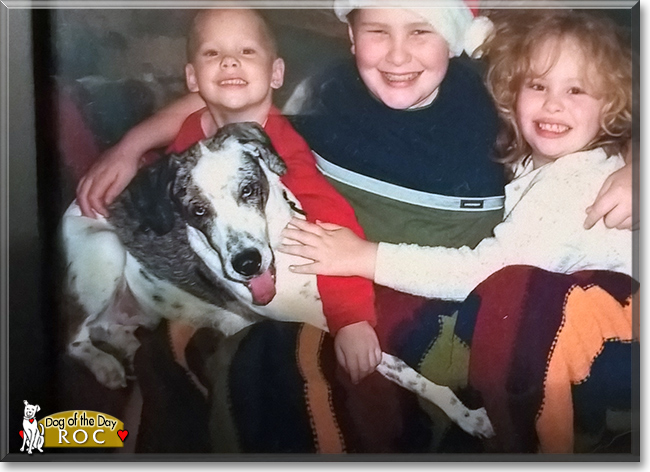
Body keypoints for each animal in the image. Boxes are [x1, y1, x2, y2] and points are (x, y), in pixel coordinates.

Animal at [62, 122, 492, 438]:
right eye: (197, 211)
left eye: (249, 189)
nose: (246, 263)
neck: (286, 260)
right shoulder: (330, 327)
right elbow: (405, 370)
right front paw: (465, 414)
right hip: (106, 251)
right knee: (74, 335)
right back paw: (105, 365)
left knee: (108, 327)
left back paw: (126, 347)